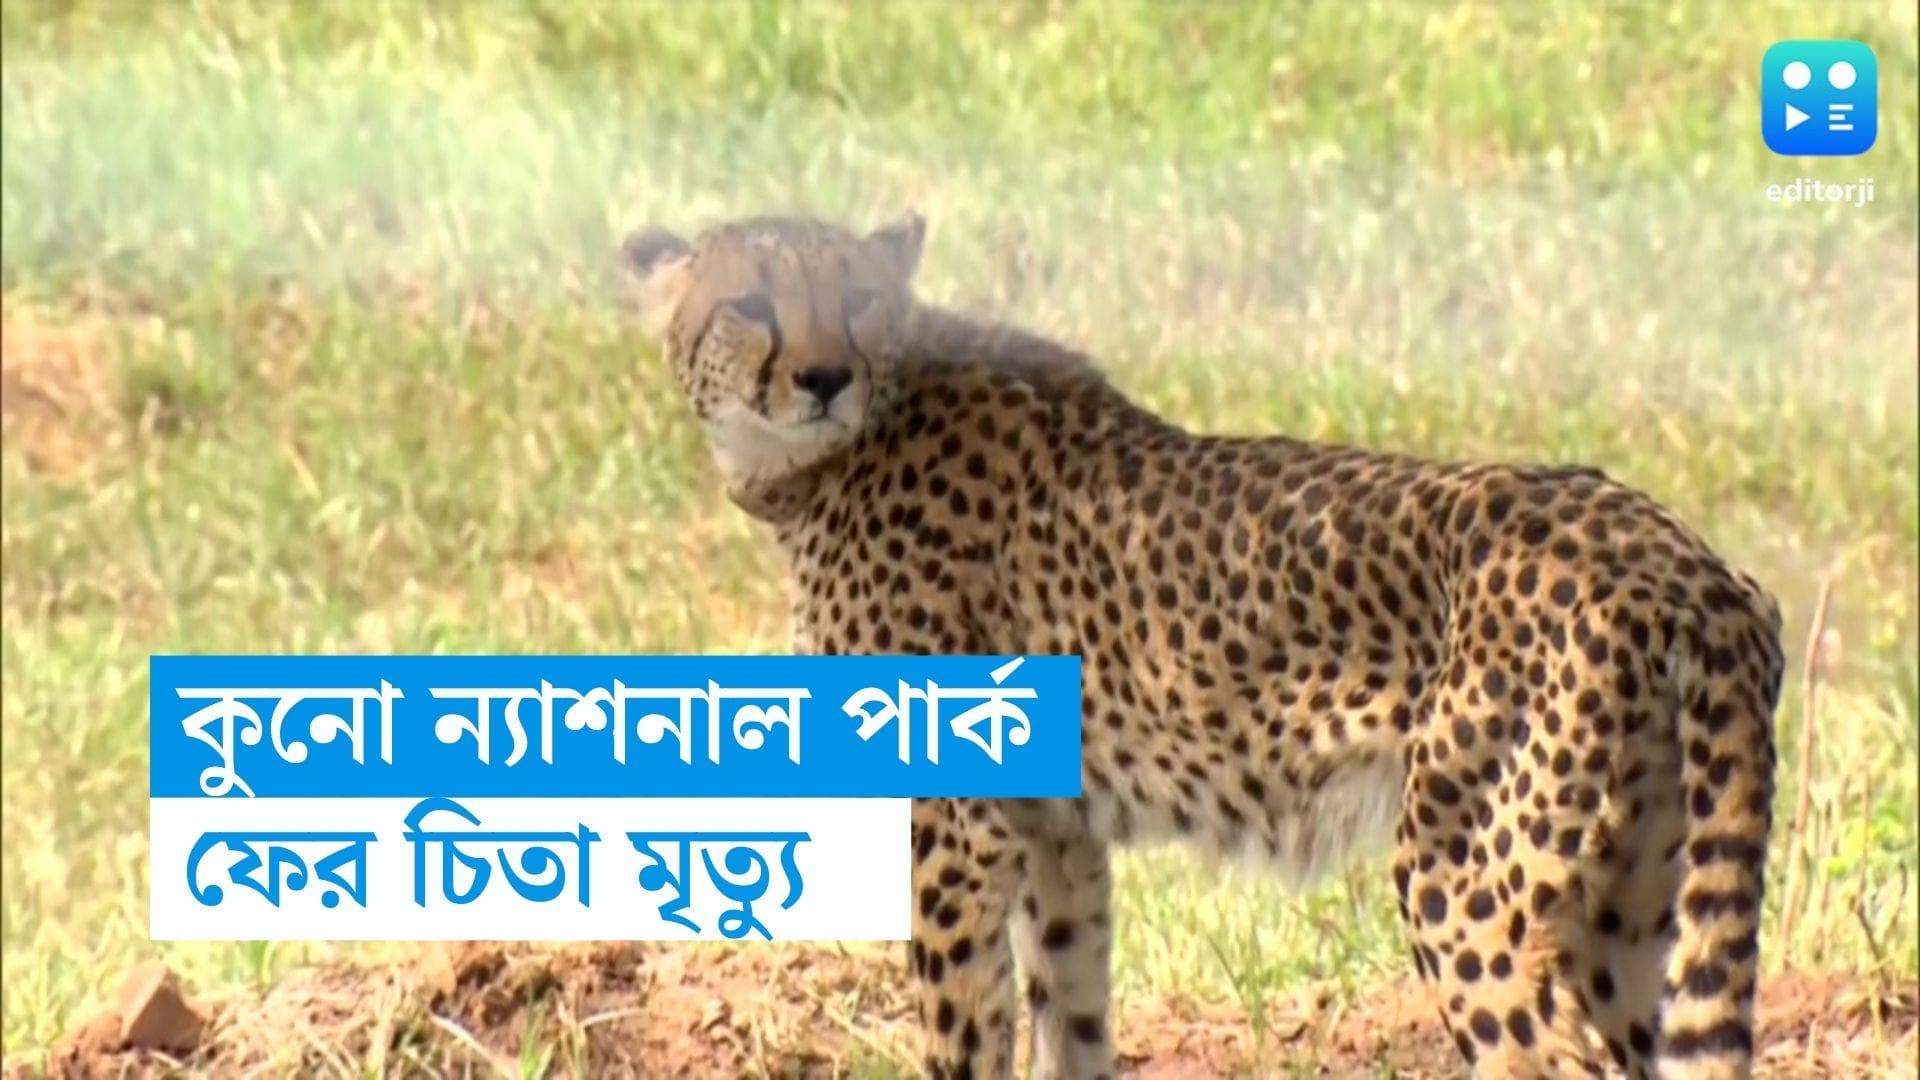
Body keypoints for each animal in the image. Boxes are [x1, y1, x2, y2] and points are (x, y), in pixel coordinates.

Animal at [619, 210, 1785, 1080]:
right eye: (751, 302)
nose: (823, 378)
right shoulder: (1055, 832)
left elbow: (964, 1030)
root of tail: (1678, 554)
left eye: (857, 298)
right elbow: (1070, 1016)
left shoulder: (950, 829)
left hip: (1465, 883)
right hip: (1633, 900)